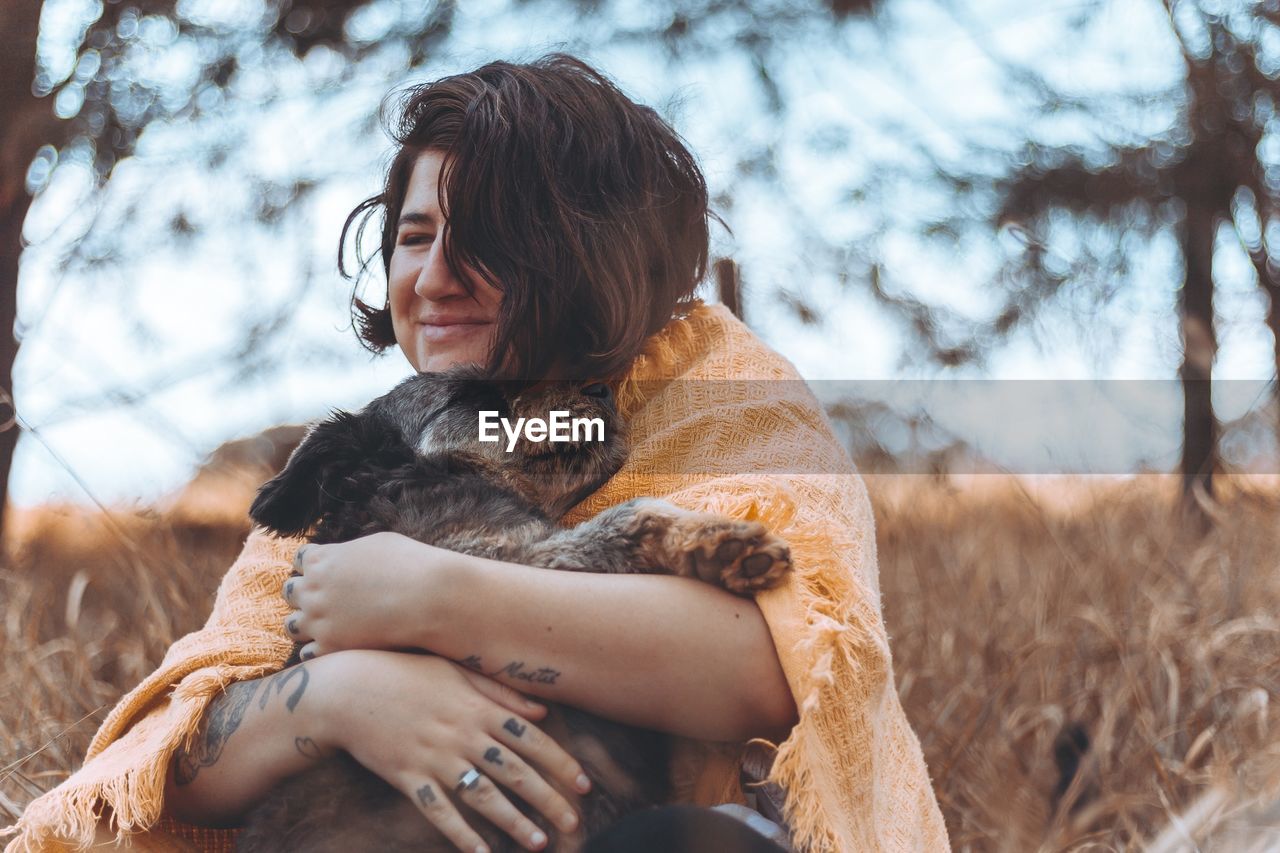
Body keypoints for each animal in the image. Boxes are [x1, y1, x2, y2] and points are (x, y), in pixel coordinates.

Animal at [235, 366, 783, 850]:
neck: (416, 481)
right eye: (472, 397)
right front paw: (719, 540)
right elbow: (630, 512)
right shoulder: (514, 561)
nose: (601, 388)